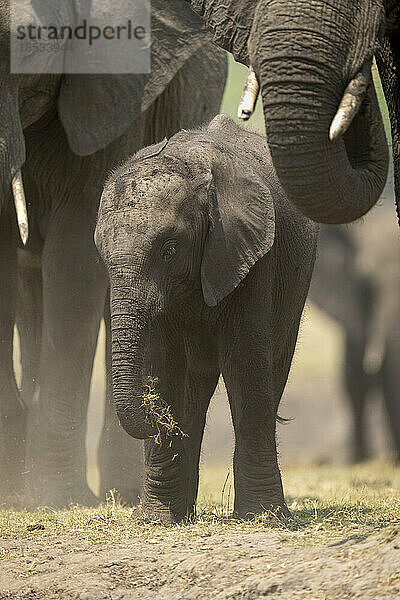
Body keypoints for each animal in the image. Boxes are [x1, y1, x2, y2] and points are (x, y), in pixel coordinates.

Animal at [95, 115, 318, 524]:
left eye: (169, 250)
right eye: (101, 256)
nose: (153, 416)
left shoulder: (247, 253)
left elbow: (245, 363)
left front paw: (261, 518)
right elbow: (164, 366)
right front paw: (158, 520)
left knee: (272, 367)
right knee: (194, 389)